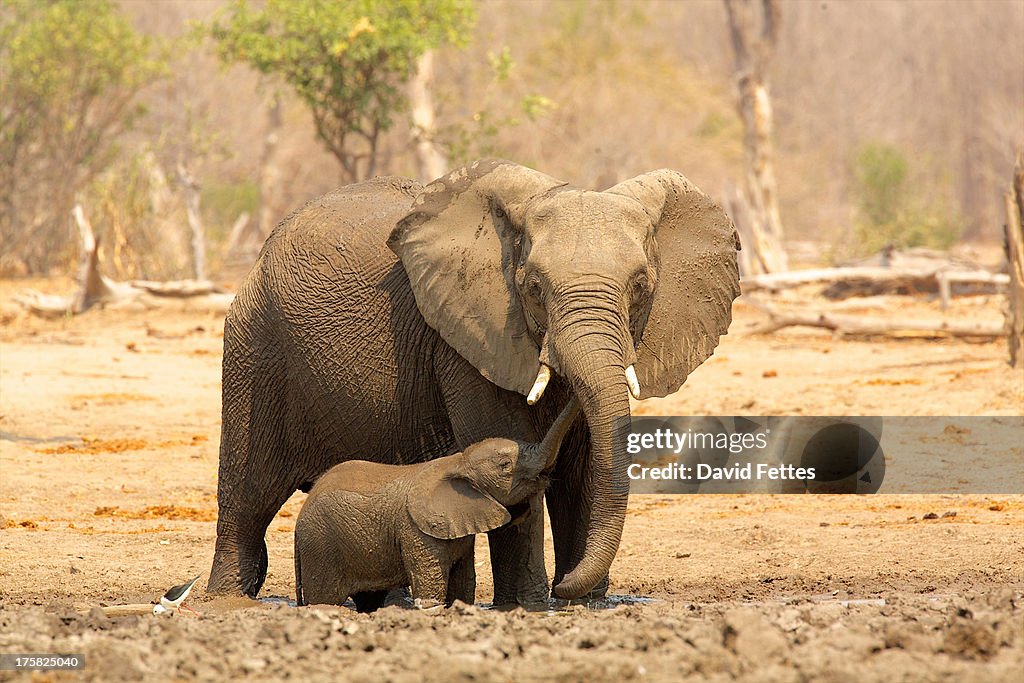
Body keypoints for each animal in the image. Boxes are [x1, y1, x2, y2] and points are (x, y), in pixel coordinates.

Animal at [296, 397, 581, 610]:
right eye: (504, 465)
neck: (458, 462)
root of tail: (299, 521)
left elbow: (463, 581)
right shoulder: (416, 530)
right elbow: (431, 583)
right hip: (321, 546)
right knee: (325, 596)